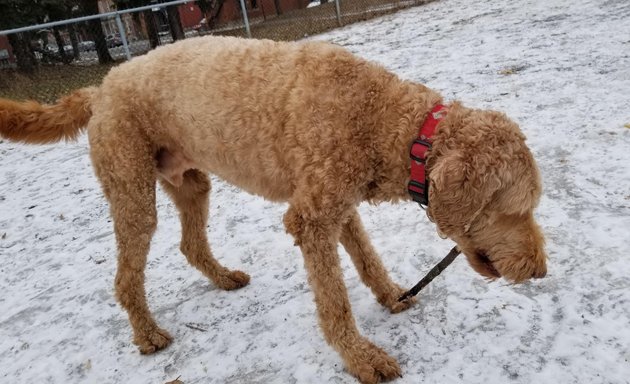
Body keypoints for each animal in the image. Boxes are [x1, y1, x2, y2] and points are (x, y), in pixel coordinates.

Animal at [0, 36, 548, 384]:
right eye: (518, 210)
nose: (540, 271)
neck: (390, 123)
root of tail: (101, 87)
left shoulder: (335, 201)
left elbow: (367, 257)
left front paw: (392, 294)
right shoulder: (312, 217)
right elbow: (334, 301)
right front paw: (361, 358)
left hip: (190, 182)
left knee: (190, 244)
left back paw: (223, 279)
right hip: (131, 188)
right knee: (126, 275)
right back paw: (148, 335)